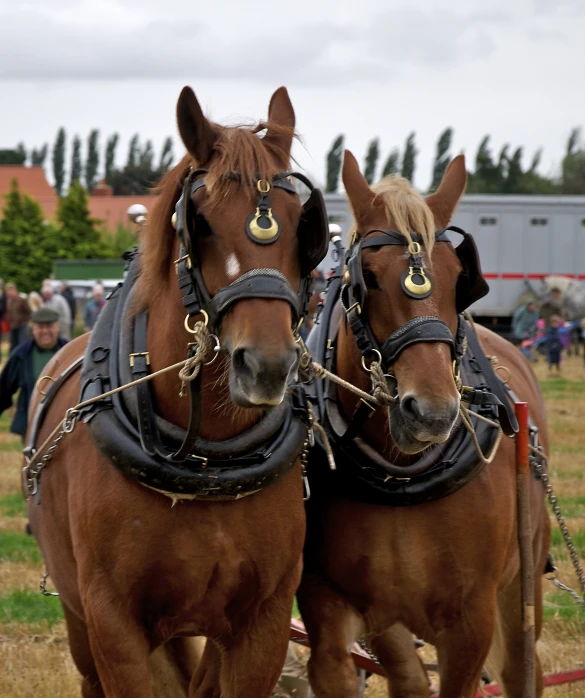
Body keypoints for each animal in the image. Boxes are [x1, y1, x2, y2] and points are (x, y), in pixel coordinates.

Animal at [26, 87, 320, 696]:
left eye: (300, 224)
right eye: (200, 222)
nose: (267, 366)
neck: (206, 465)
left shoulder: (264, 622)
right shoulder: (112, 622)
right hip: (78, 617)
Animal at [298, 152, 548, 696]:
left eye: (460, 279)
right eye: (367, 277)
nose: (432, 412)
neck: (403, 481)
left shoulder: (472, 625)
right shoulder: (333, 614)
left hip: (521, 586)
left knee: (523, 670)